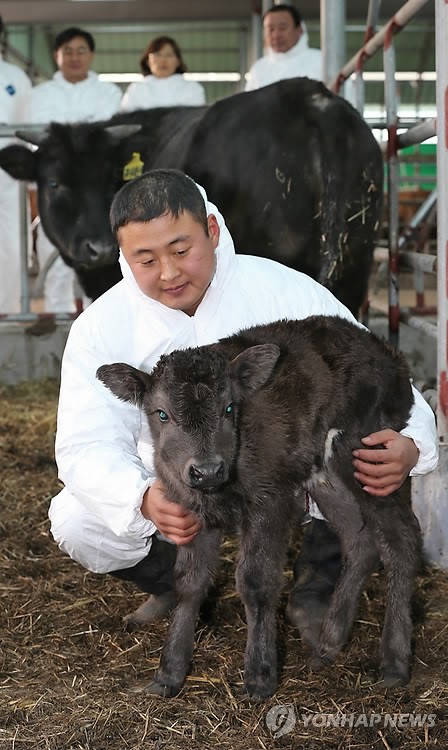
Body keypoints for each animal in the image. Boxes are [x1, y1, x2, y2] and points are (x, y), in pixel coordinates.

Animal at [97, 316, 420, 700]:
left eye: (229, 408)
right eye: (162, 414)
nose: (207, 469)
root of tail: (389, 356)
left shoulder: (270, 500)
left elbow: (255, 582)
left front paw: (259, 677)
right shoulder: (191, 507)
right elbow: (188, 581)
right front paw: (168, 673)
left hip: (369, 456)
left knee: (401, 540)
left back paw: (394, 664)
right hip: (325, 474)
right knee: (361, 541)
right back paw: (328, 645)